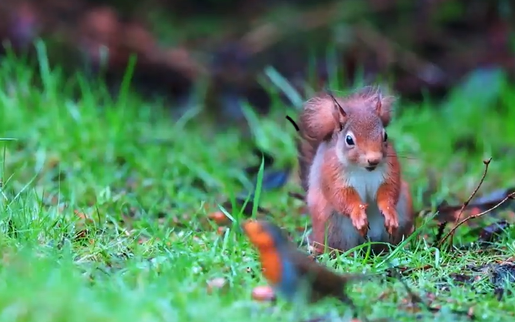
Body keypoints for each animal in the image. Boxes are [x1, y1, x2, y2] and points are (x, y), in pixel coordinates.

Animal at [296, 85, 414, 254]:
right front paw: (358, 214)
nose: (374, 159)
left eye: (385, 136)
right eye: (349, 140)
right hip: (333, 228)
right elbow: (342, 196)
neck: (363, 169)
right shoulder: (332, 174)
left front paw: (389, 212)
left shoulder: (390, 170)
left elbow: (389, 190)